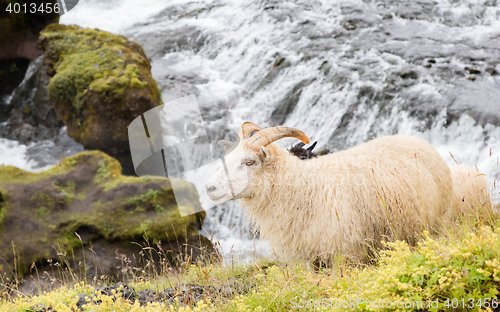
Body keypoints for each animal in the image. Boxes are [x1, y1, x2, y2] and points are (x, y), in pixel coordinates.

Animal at [206, 123, 454, 262]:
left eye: (249, 162)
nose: (209, 188)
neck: (304, 186)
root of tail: (415, 138)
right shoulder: (306, 257)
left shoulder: (342, 252)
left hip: (435, 225)